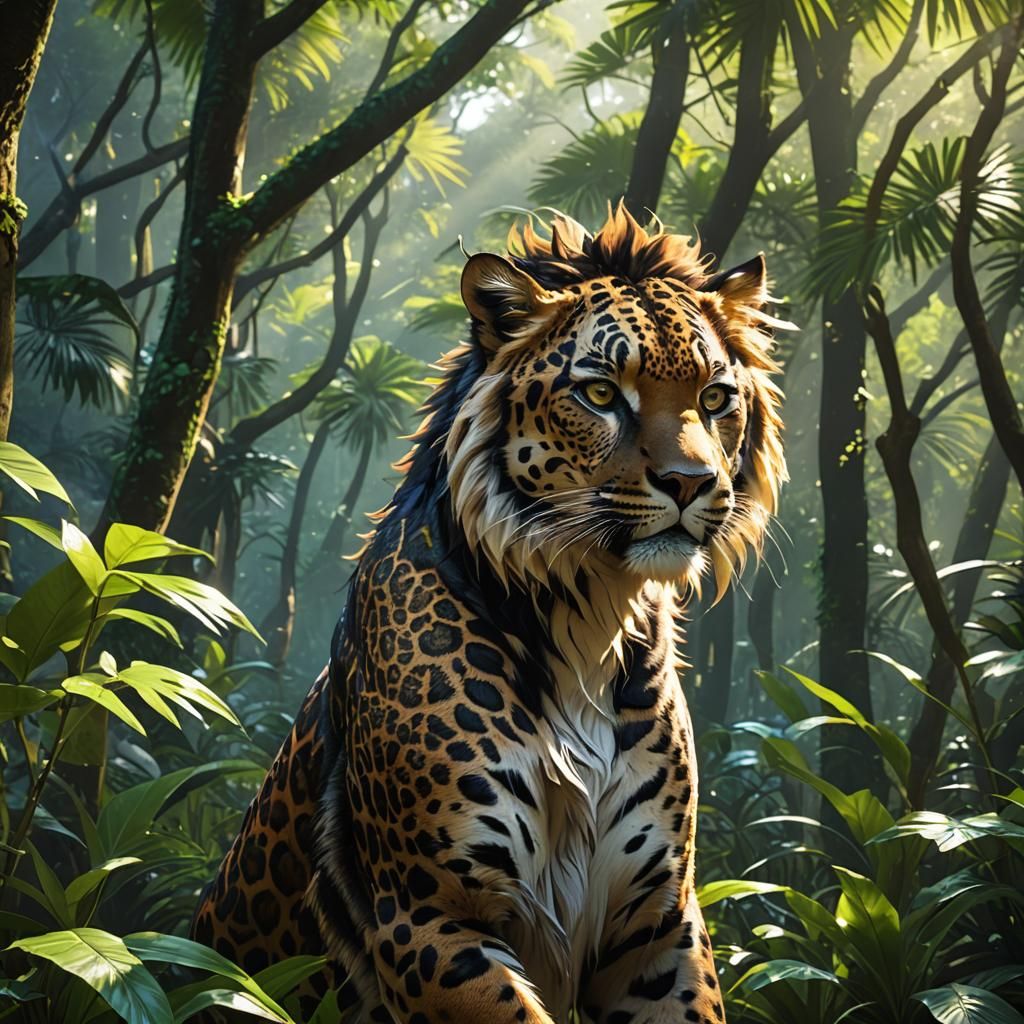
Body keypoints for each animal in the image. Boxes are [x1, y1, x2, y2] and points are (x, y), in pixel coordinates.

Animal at [191, 202, 788, 1024]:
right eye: (602, 394)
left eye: (715, 398)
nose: (692, 482)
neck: (591, 616)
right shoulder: (429, 914)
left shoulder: (657, 917)